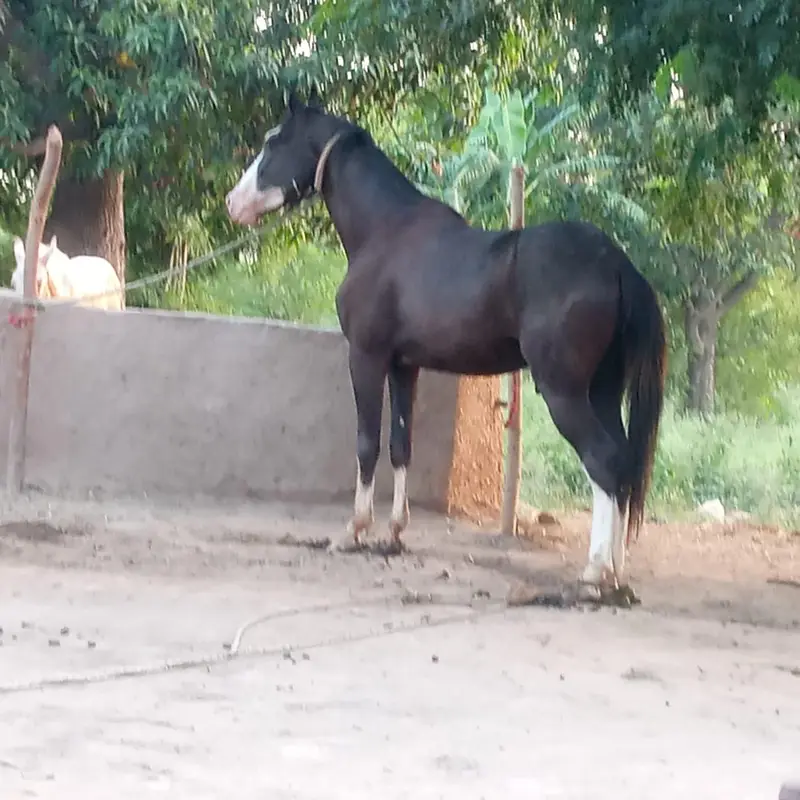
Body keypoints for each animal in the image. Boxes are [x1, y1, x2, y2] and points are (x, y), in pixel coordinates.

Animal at [225, 89, 667, 601]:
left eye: (273, 142)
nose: (233, 203)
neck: (385, 231)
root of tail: (617, 263)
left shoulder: (366, 357)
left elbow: (366, 443)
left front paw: (354, 531)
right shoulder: (404, 366)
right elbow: (401, 445)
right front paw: (394, 533)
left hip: (565, 393)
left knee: (604, 462)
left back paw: (595, 572)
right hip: (603, 391)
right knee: (623, 466)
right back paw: (617, 574)